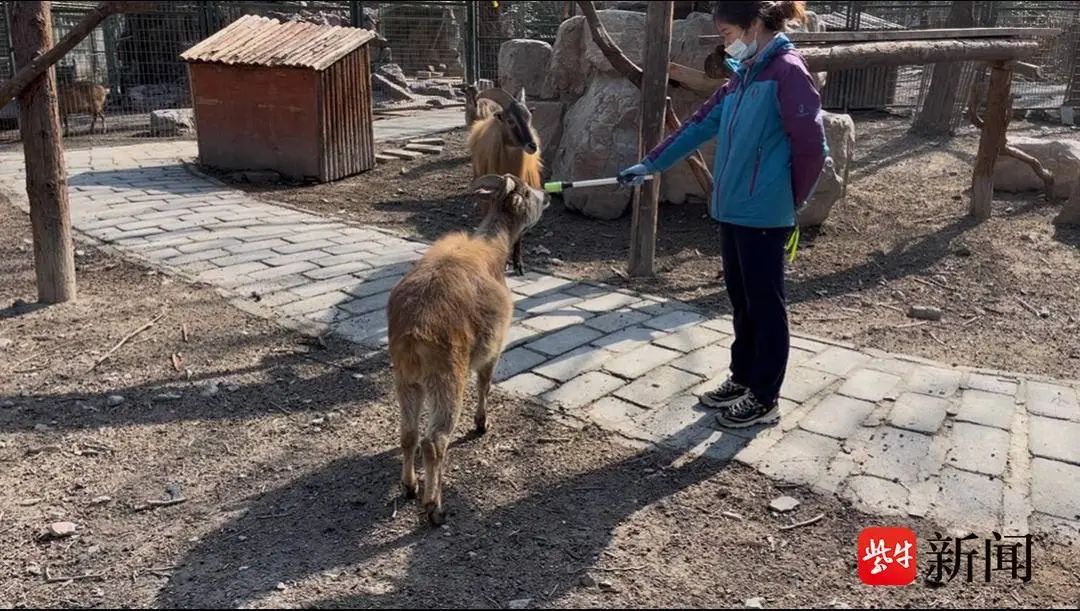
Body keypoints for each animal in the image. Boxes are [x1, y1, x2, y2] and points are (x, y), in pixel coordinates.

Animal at [388, 173, 548, 526]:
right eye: (527, 192)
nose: (546, 196)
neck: (493, 250)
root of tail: (414, 333)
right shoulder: (494, 345)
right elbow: (486, 382)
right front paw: (481, 424)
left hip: (406, 377)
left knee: (408, 432)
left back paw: (409, 486)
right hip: (447, 374)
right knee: (434, 441)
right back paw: (434, 506)